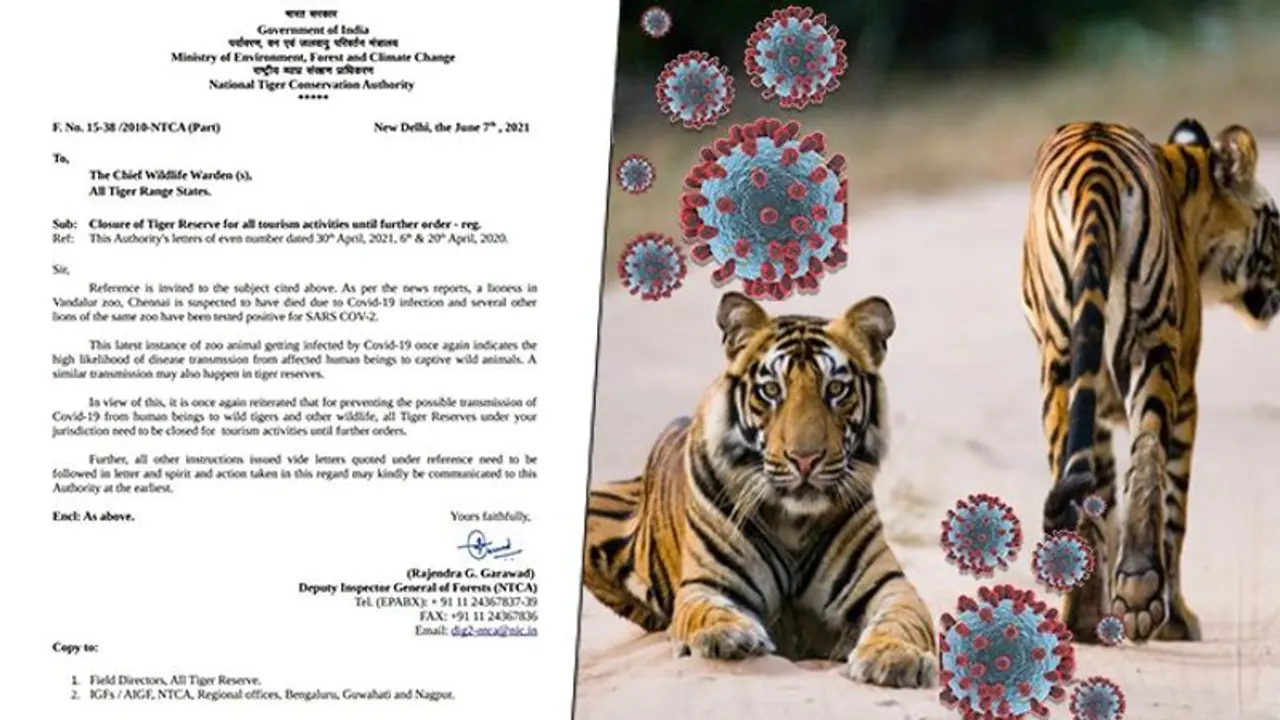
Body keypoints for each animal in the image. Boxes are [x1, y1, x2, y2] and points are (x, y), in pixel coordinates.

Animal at [581, 291, 936, 688]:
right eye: (771, 391)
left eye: (835, 389)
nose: (805, 459)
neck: (793, 522)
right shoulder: (707, 584)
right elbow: (708, 611)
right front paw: (728, 635)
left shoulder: (889, 587)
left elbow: (901, 620)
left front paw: (894, 656)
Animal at [1020, 119, 1280, 645]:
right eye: (1277, 227)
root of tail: (1095, 167)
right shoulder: (1188, 390)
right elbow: (1174, 507)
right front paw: (1176, 617)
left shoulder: (1096, 404)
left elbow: (1102, 494)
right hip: (1155, 347)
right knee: (1149, 454)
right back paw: (1142, 591)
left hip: (1061, 360)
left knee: (1075, 473)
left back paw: (1082, 615)